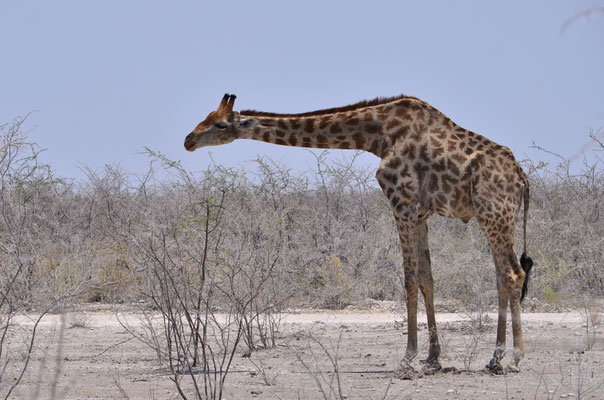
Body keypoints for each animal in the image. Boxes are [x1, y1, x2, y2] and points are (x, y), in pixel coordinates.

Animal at [184, 93, 532, 372]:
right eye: (206, 117)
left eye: (219, 125)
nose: (188, 139)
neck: (380, 136)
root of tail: (521, 177)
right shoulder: (420, 214)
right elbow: (427, 279)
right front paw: (432, 359)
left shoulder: (402, 205)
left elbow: (409, 279)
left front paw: (407, 360)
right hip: (495, 218)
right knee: (501, 276)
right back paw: (495, 358)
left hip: (494, 215)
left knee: (513, 274)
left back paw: (514, 358)